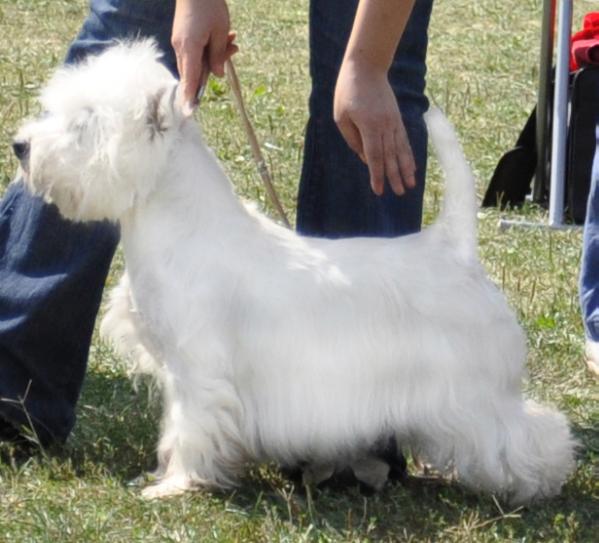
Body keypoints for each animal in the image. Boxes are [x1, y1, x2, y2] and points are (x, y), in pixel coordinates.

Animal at [14, 40, 576, 504]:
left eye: (84, 123)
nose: (20, 146)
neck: (177, 221)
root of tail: (455, 247)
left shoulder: (199, 367)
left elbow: (192, 426)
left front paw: (178, 485)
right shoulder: (178, 369)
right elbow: (177, 425)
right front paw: (166, 476)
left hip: (475, 392)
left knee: (528, 432)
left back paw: (538, 483)